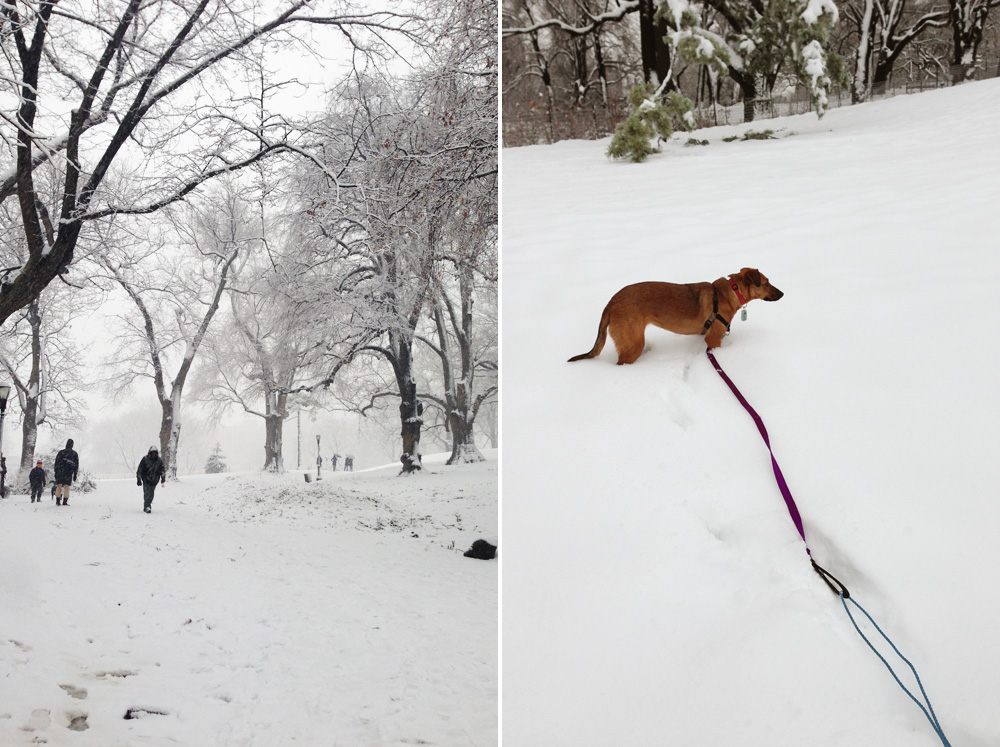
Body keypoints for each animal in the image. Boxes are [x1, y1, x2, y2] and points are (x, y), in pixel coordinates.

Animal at [568, 268, 784, 366]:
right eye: (766, 283)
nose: (782, 294)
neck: (731, 291)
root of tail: (611, 303)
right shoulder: (713, 339)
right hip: (633, 344)